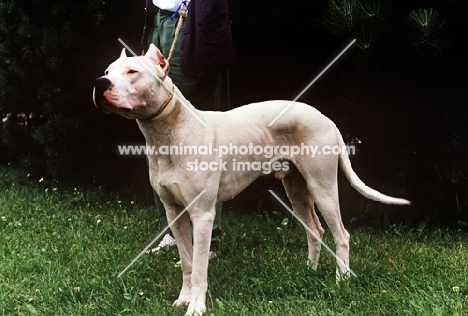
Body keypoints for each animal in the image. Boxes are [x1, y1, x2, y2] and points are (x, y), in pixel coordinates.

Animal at [94, 43, 410, 314]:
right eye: (107, 71)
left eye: (132, 71)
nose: (100, 83)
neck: (169, 133)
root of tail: (326, 118)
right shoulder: (175, 213)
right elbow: (186, 262)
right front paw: (183, 299)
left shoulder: (203, 215)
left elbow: (199, 268)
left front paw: (197, 307)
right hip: (297, 190)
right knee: (315, 230)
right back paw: (310, 270)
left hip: (323, 189)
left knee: (341, 235)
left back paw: (341, 281)